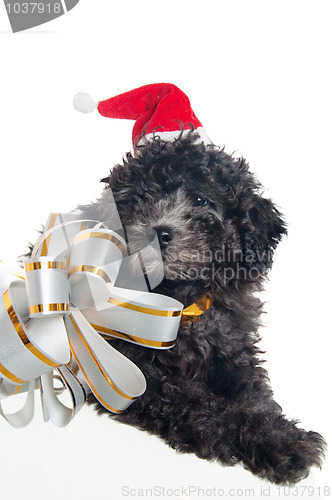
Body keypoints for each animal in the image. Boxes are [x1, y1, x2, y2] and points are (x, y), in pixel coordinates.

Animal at [81, 133, 326, 484]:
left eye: (201, 201)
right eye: (138, 200)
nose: (158, 232)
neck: (179, 298)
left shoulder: (230, 343)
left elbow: (251, 391)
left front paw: (277, 435)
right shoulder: (131, 371)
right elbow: (197, 403)